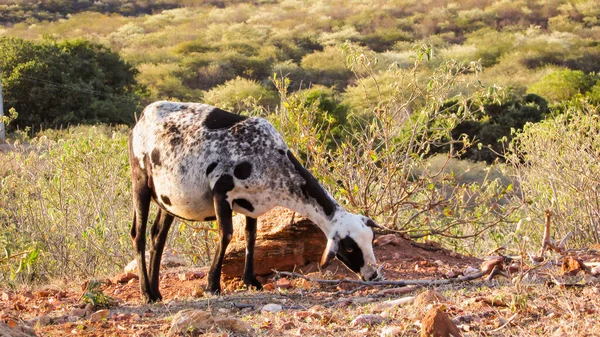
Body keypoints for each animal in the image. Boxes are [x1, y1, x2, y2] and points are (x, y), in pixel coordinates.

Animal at [129, 100, 382, 302]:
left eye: (370, 239)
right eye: (349, 247)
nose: (374, 275)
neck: (273, 160)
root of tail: (143, 115)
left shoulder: (252, 204)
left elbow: (251, 236)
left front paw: (251, 281)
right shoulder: (222, 191)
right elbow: (227, 234)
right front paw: (212, 286)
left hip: (167, 199)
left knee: (157, 235)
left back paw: (156, 291)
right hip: (140, 180)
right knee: (138, 235)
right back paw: (146, 293)